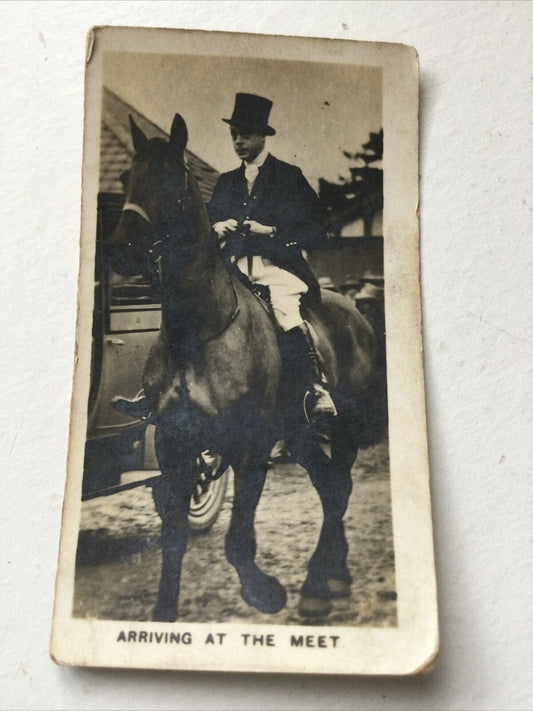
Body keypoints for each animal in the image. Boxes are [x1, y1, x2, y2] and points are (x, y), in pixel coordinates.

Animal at [108, 114, 384, 620]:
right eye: (124, 177)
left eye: (172, 179)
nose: (122, 250)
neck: (196, 334)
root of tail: (356, 310)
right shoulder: (176, 447)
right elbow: (173, 538)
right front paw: (163, 616)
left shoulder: (250, 447)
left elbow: (238, 540)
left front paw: (264, 591)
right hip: (298, 433)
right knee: (331, 487)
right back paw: (329, 578)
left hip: (343, 428)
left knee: (339, 487)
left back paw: (318, 582)